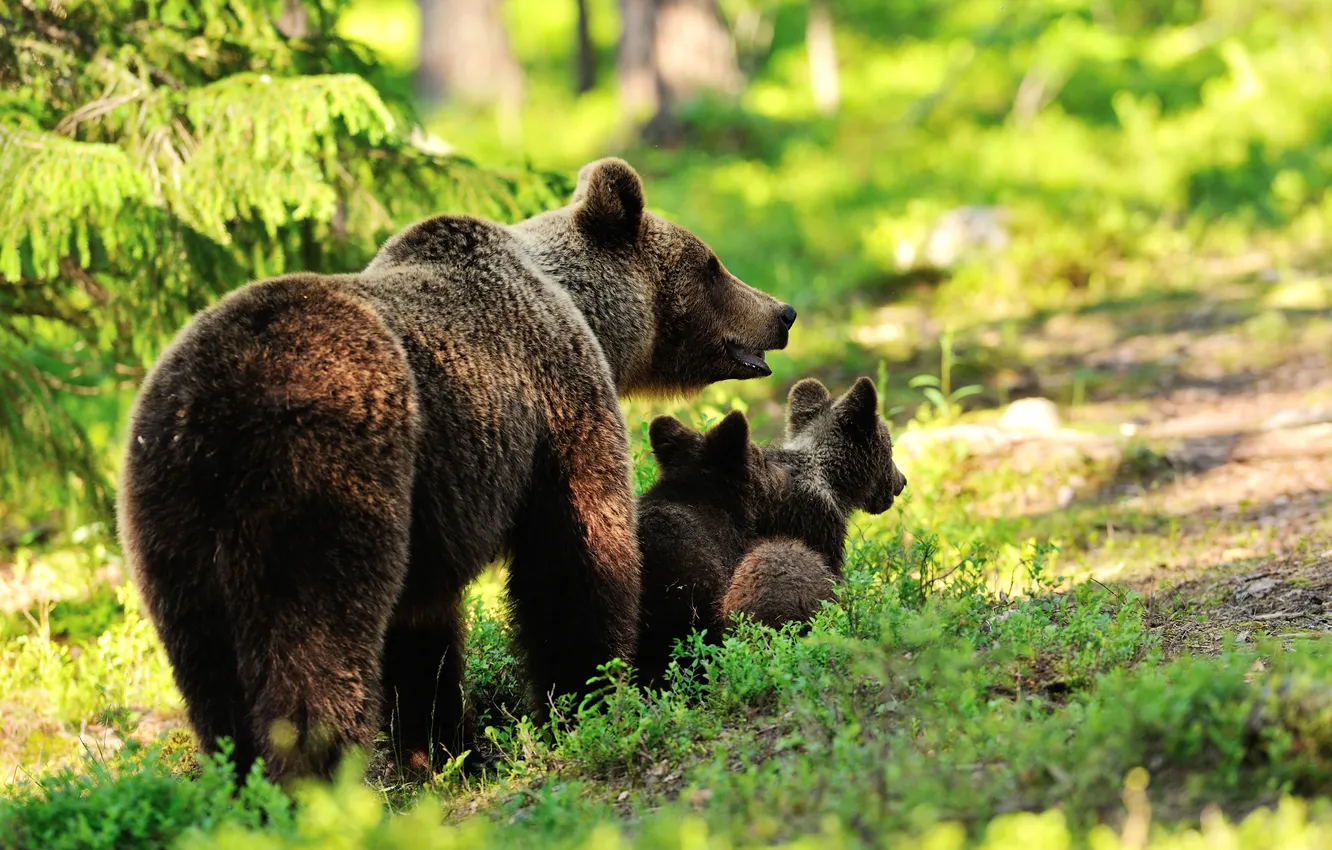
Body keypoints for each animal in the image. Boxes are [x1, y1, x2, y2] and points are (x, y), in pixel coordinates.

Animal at [116, 157, 797, 782]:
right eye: (712, 264)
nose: (783, 311)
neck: (586, 313)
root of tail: (221, 407)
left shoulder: (435, 506)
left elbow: (424, 630)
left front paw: (444, 750)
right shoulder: (557, 402)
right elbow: (575, 563)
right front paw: (587, 699)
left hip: (172, 518)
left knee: (209, 668)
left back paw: (248, 783)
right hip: (322, 480)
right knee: (312, 647)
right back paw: (319, 781)